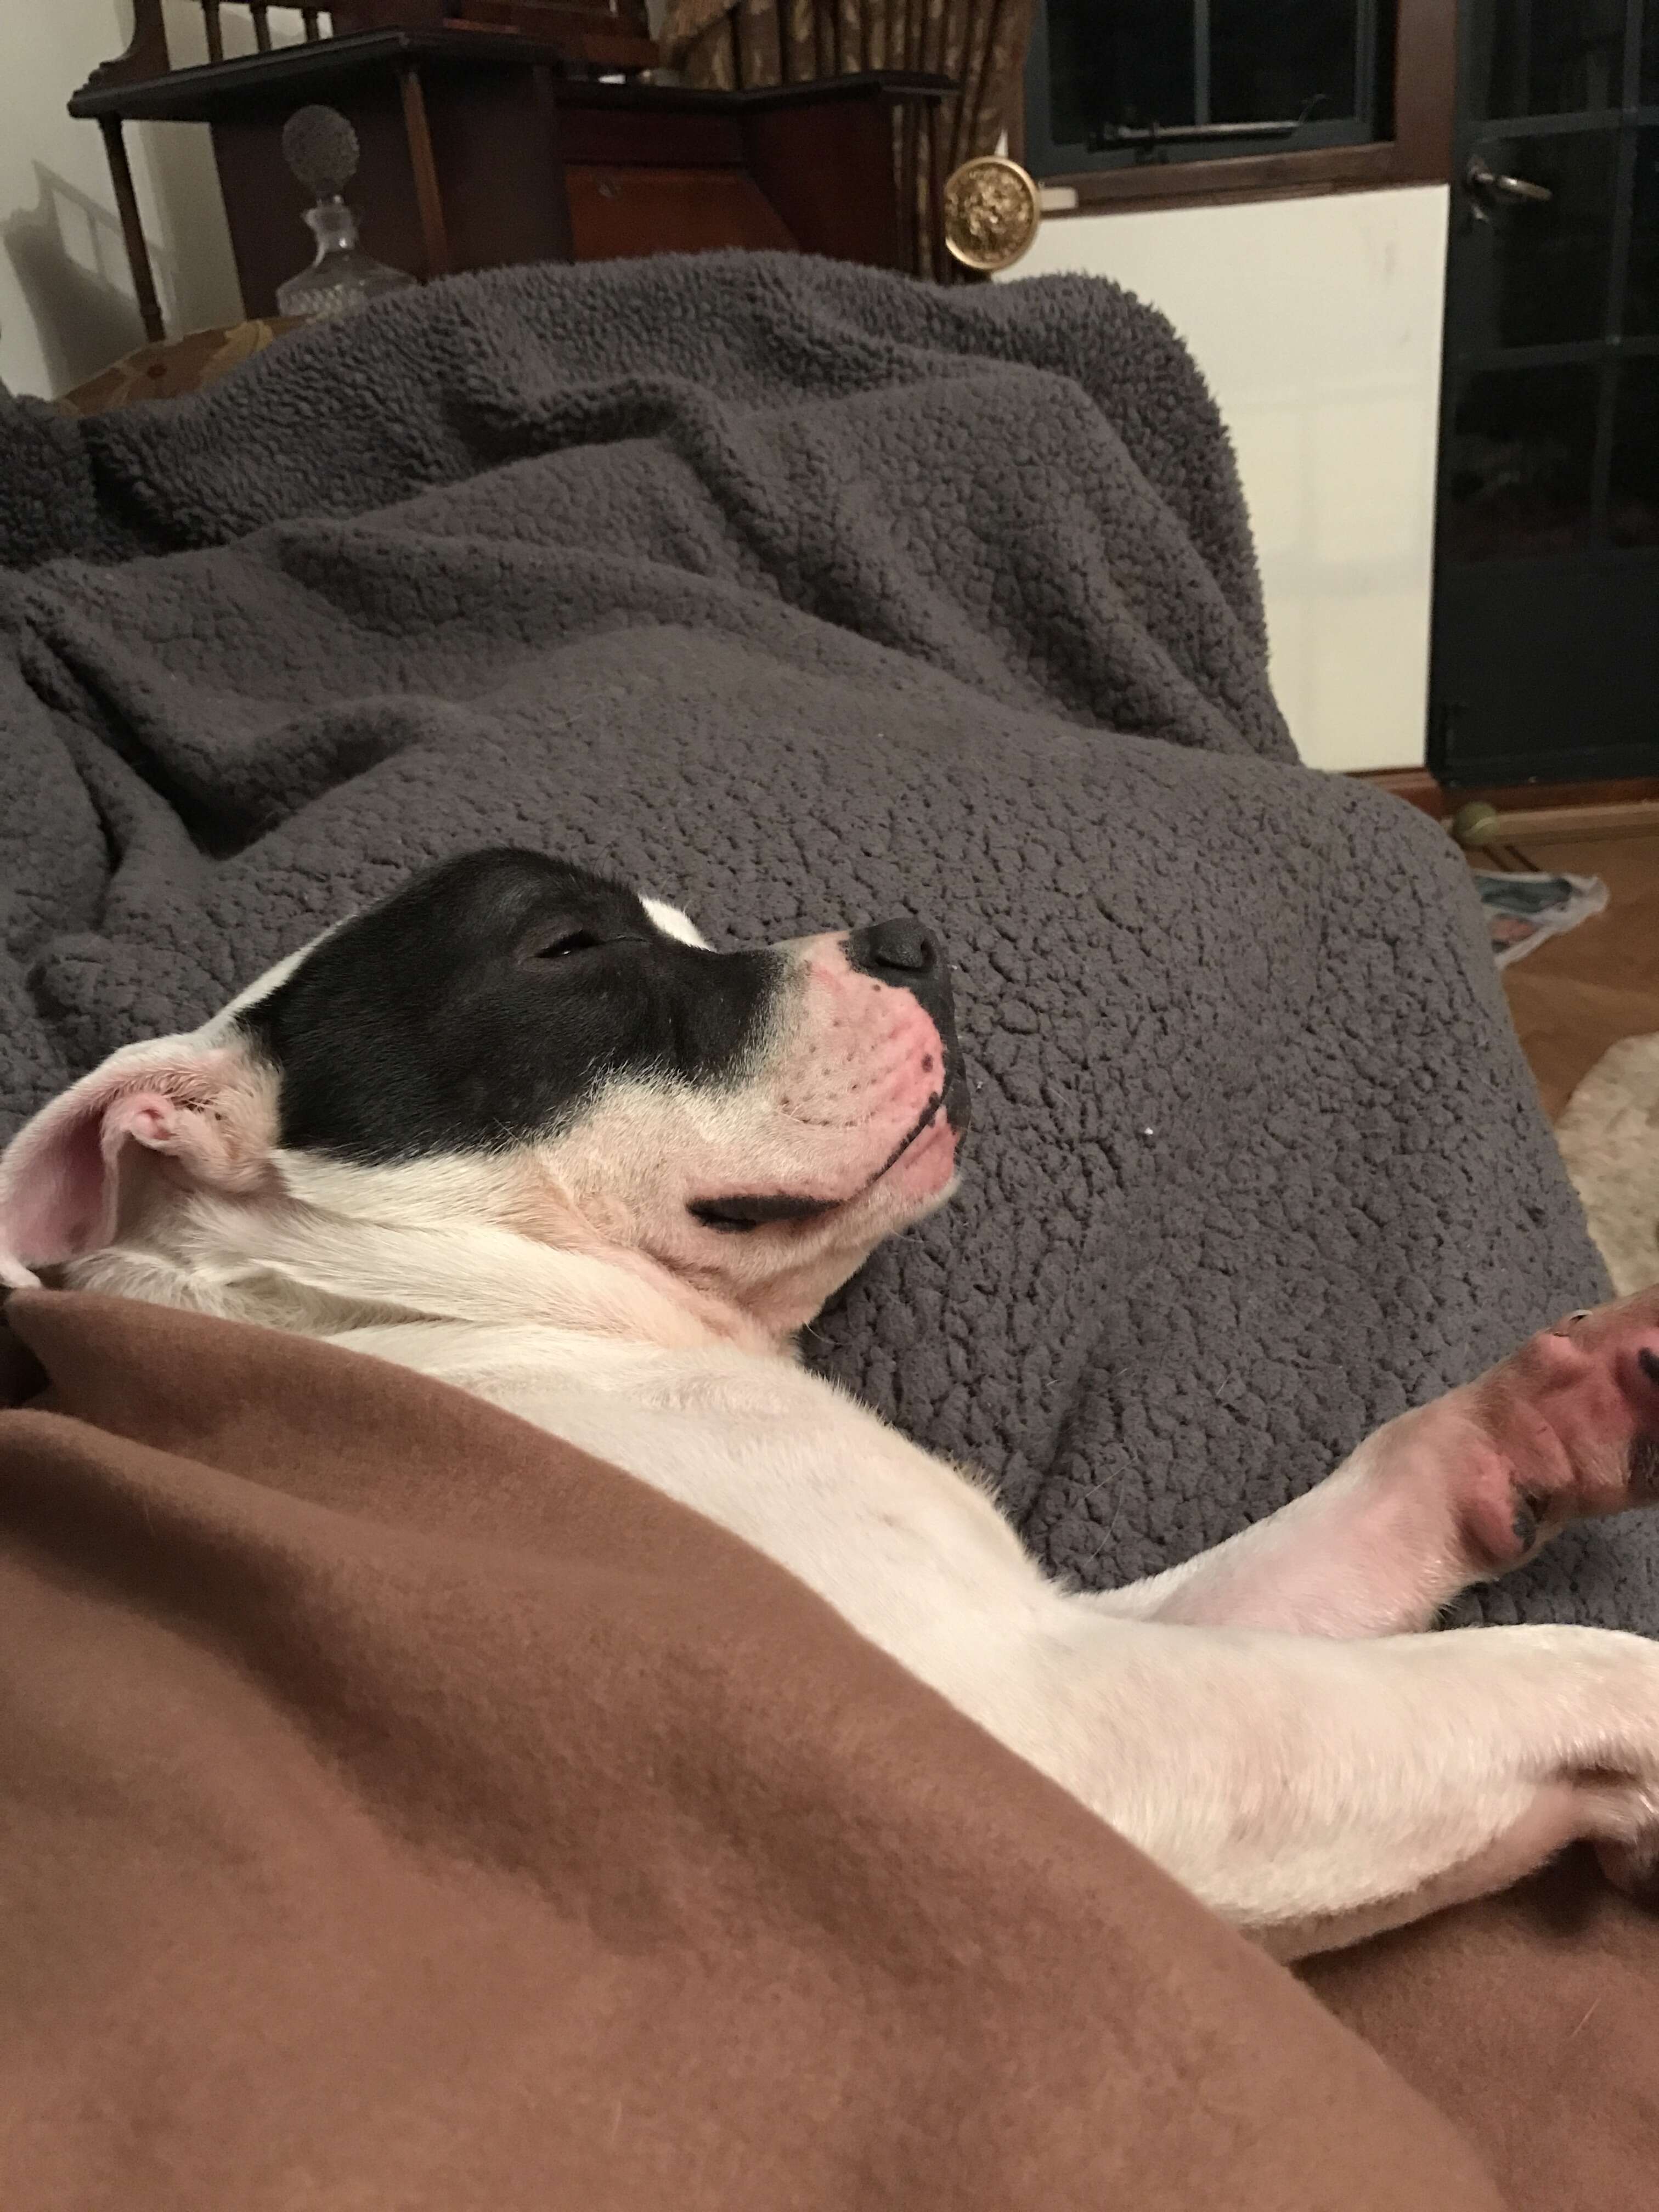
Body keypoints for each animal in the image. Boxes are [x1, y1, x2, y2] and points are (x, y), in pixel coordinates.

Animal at [9, 845, 1659, 1955]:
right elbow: (1513, 1675)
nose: (914, 934)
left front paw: (1555, 1409)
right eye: (568, 943)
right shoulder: (1042, 1715)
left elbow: (1357, 1516)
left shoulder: (1058, 1621)